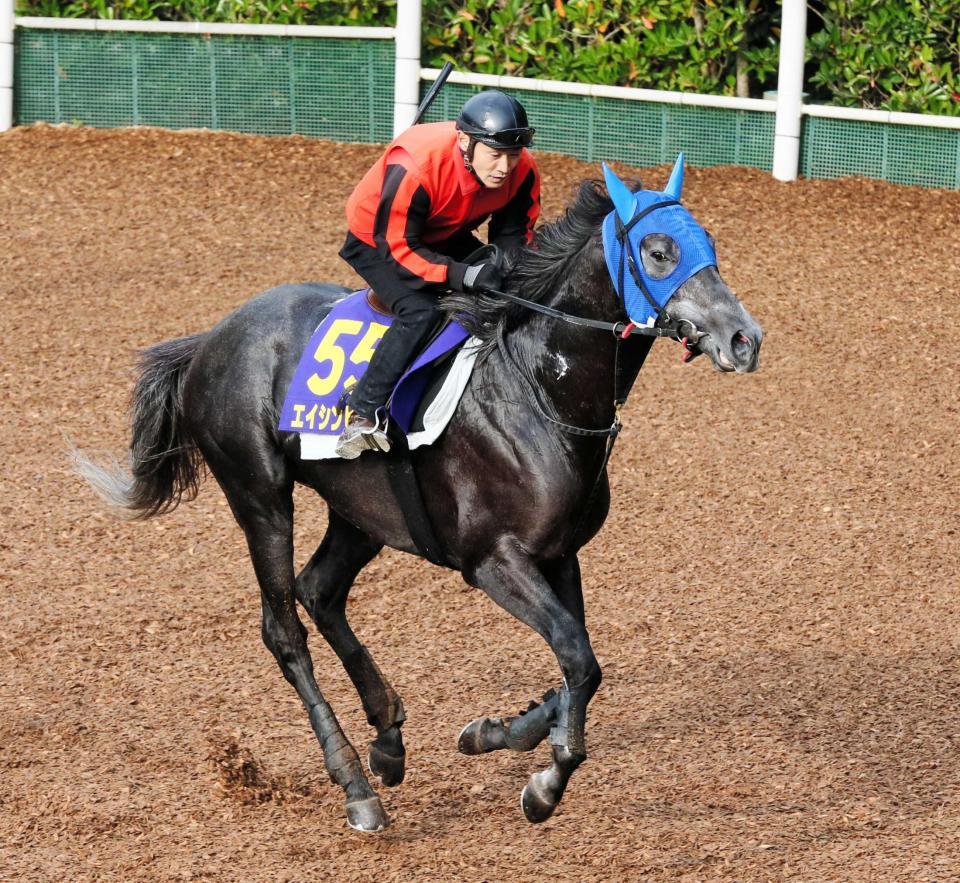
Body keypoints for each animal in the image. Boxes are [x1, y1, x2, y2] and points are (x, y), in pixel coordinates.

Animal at [76, 157, 763, 832]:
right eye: (659, 251)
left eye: (710, 244)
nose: (744, 338)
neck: (538, 388)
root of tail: (210, 340)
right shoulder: (493, 560)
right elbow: (578, 657)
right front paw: (544, 783)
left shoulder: (560, 554)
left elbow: (580, 667)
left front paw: (499, 732)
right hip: (260, 499)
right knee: (284, 628)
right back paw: (355, 784)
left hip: (360, 510)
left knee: (319, 590)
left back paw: (387, 739)